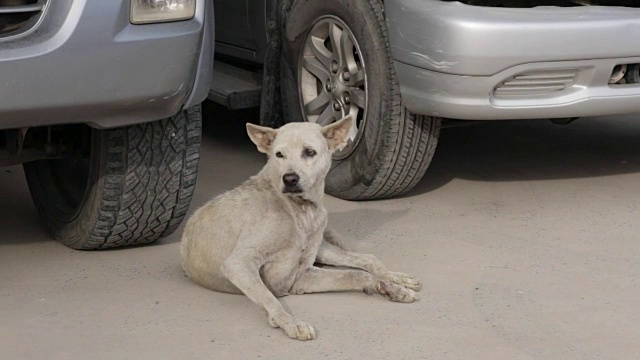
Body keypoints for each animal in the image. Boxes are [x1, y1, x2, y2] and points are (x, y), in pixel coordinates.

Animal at [180, 116, 420, 340]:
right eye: (279, 155)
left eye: (309, 152)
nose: (289, 179)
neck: (301, 210)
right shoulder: (241, 264)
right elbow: (270, 298)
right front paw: (291, 322)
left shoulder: (300, 276)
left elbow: (356, 275)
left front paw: (390, 288)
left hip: (323, 248)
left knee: (367, 259)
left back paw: (396, 280)